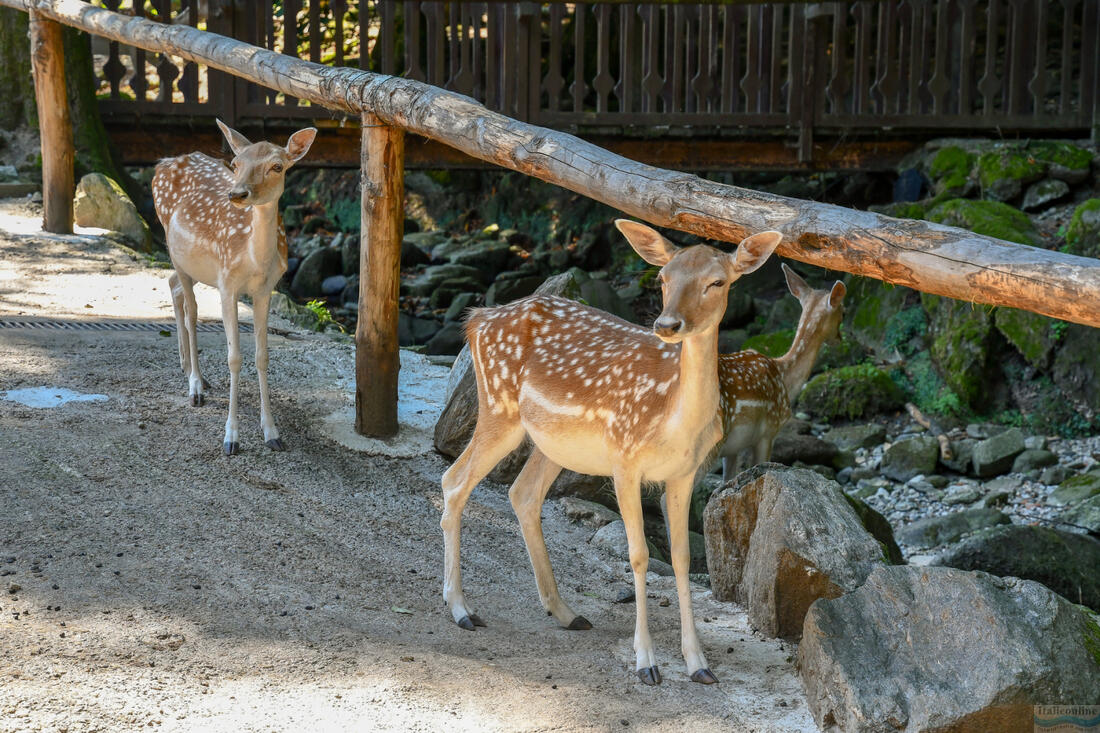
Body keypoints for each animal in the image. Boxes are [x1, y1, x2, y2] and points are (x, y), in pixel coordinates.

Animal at [150, 119, 316, 451]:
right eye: (236, 163)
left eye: (277, 166)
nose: (237, 193)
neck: (255, 261)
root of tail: (163, 163)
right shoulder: (227, 284)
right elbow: (234, 358)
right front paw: (231, 438)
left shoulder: (265, 290)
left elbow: (262, 357)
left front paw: (272, 433)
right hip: (174, 249)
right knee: (191, 310)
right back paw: (196, 386)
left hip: (188, 264)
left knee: (173, 285)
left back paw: (188, 369)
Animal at [437, 220, 783, 682]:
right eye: (662, 278)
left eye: (717, 281)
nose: (667, 324)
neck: (673, 421)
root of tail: (477, 321)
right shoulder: (624, 458)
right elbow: (639, 555)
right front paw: (646, 662)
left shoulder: (686, 472)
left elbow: (683, 558)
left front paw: (699, 664)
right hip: (499, 409)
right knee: (454, 481)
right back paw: (460, 609)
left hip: (551, 440)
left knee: (522, 493)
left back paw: (566, 612)